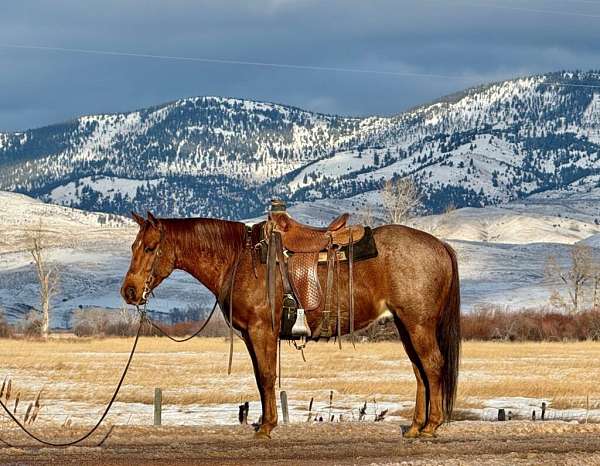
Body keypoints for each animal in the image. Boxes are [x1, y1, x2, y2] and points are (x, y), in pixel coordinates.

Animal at [120, 212, 460, 440]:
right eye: (132, 246)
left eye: (149, 248)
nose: (129, 292)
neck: (239, 260)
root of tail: (440, 245)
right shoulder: (250, 336)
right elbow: (261, 378)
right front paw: (262, 422)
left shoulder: (261, 331)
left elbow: (267, 377)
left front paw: (267, 427)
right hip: (404, 325)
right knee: (419, 371)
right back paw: (415, 427)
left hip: (418, 324)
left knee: (432, 365)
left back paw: (431, 426)